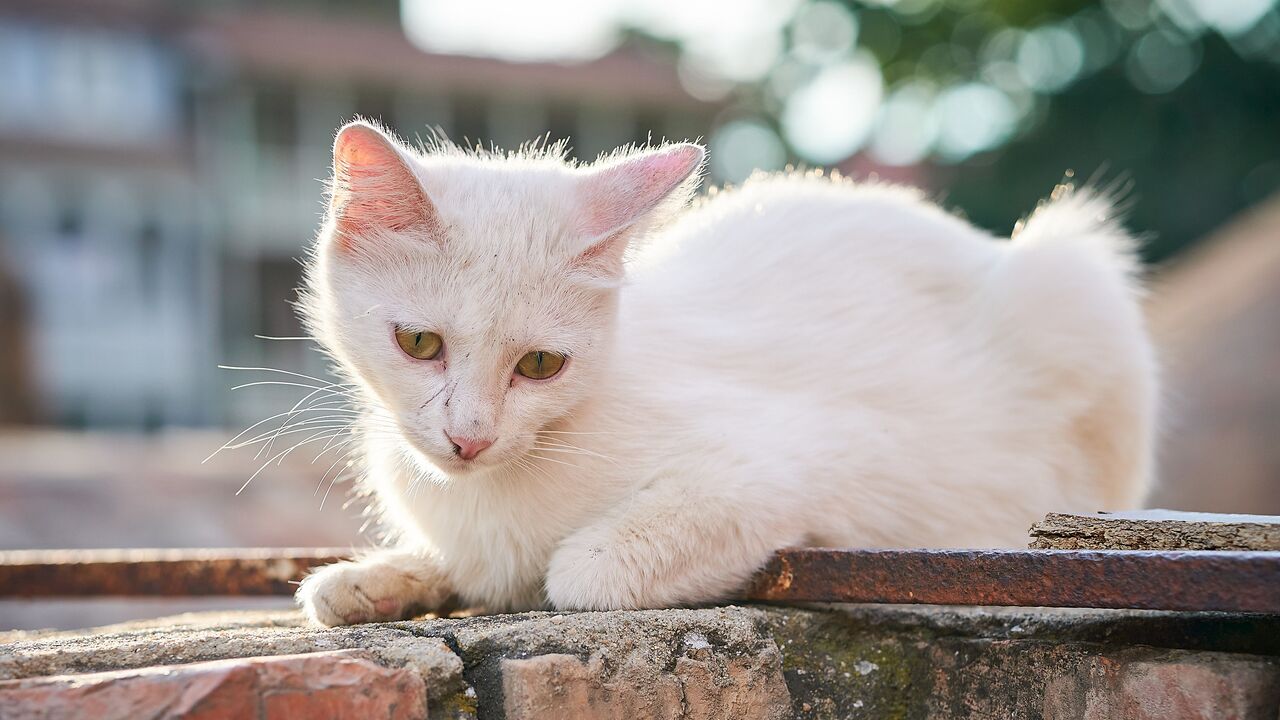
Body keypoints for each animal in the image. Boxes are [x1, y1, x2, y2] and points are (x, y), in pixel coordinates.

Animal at [293, 119, 1162, 622]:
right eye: (419, 344)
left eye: (540, 364)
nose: (469, 438)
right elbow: (459, 569)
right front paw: (377, 578)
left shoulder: (804, 461)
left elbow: (581, 571)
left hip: (1073, 283)